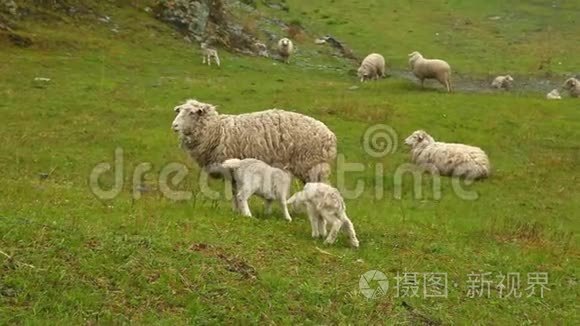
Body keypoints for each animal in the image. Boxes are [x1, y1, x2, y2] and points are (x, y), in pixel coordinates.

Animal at [170, 98, 338, 185]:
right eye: (180, 111)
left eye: (192, 113)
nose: (174, 125)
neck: (217, 130)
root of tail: (330, 136)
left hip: (312, 165)